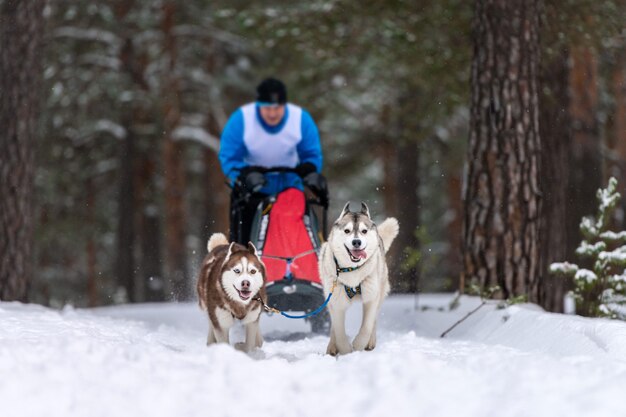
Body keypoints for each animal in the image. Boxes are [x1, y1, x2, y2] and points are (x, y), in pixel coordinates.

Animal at [320, 202, 398, 354]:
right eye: (347, 231)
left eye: (364, 231)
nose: (357, 242)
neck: (352, 269)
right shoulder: (336, 301)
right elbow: (339, 330)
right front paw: (345, 350)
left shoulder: (371, 297)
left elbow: (367, 326)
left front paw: (358, 345)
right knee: (333, 326)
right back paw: (332, 347)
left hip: (379, 291)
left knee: (374, 321)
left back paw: (370, 342)